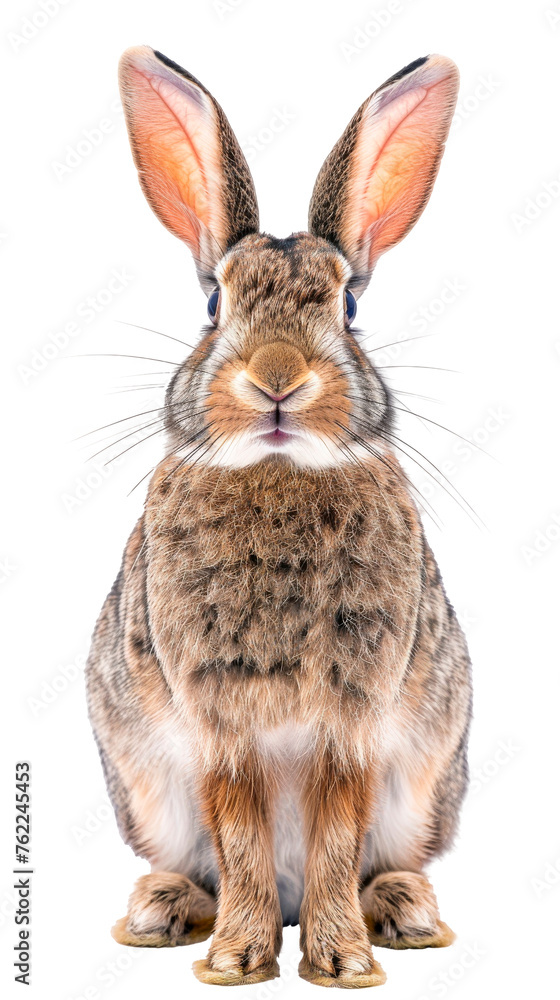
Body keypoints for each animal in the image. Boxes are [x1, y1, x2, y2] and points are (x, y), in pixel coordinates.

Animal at [86, 46, 472, 990]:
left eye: (349, 309)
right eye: (213, 307)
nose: (276, 378)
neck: (279, 469)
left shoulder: (353, 724)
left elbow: (335, 835)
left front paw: (342, 963)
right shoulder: (218, 728)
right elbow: (241, 836)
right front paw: (236, 961)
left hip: (423, 789)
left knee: (376, 859)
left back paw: (404, 914)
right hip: (148, 791)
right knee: (201, 860)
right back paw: (163, 911)